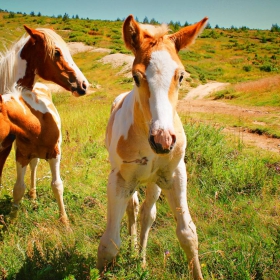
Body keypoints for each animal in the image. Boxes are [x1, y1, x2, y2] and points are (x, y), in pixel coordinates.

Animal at [98, 15, 208, 280]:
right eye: (136, 77)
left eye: (181, 76)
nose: (163, 140)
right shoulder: (119, 179)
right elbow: (109, 244)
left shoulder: (175, 174)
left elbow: (188, 234)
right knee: (133, 208)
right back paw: (133, 249)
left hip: (154, 181)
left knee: (147, 213)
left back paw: (141, 259)